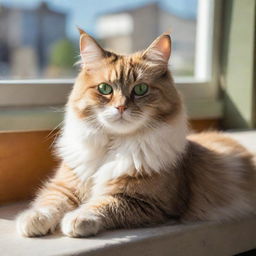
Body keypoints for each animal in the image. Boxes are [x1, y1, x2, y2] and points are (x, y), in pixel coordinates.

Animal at [16, 29, 256, 237]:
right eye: (105, 89)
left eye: (141, 89)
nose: (121, 107)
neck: (113, 146)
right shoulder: (67, 184)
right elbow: (51, 201)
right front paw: (33, 219)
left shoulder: (145, 202)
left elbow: (103, 204)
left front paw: (78, 219)